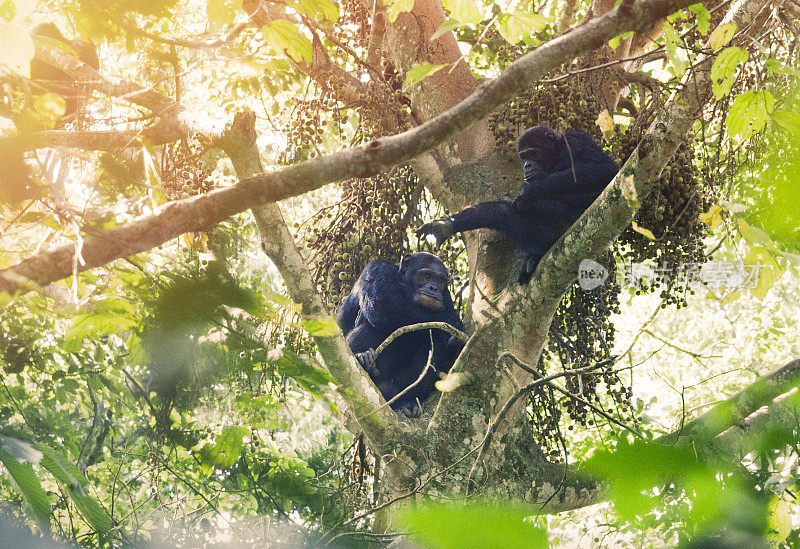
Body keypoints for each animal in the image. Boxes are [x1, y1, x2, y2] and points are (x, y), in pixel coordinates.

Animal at [336, 252, 462, 416]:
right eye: (426, 275)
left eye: (440, 279)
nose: (433, 287)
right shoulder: (377, 268)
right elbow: (383, 306)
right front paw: (452, 320)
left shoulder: (446, 295)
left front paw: (455, 338)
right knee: (373, 328)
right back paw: (363, 358)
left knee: (433, 341)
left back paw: (409, 401)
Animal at [416, 127, 620, 284]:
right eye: (523, 156)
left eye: (533, 153)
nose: (527, 165)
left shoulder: (577, 140)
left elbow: (604, 169)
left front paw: (531, 190)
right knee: (504, 212)